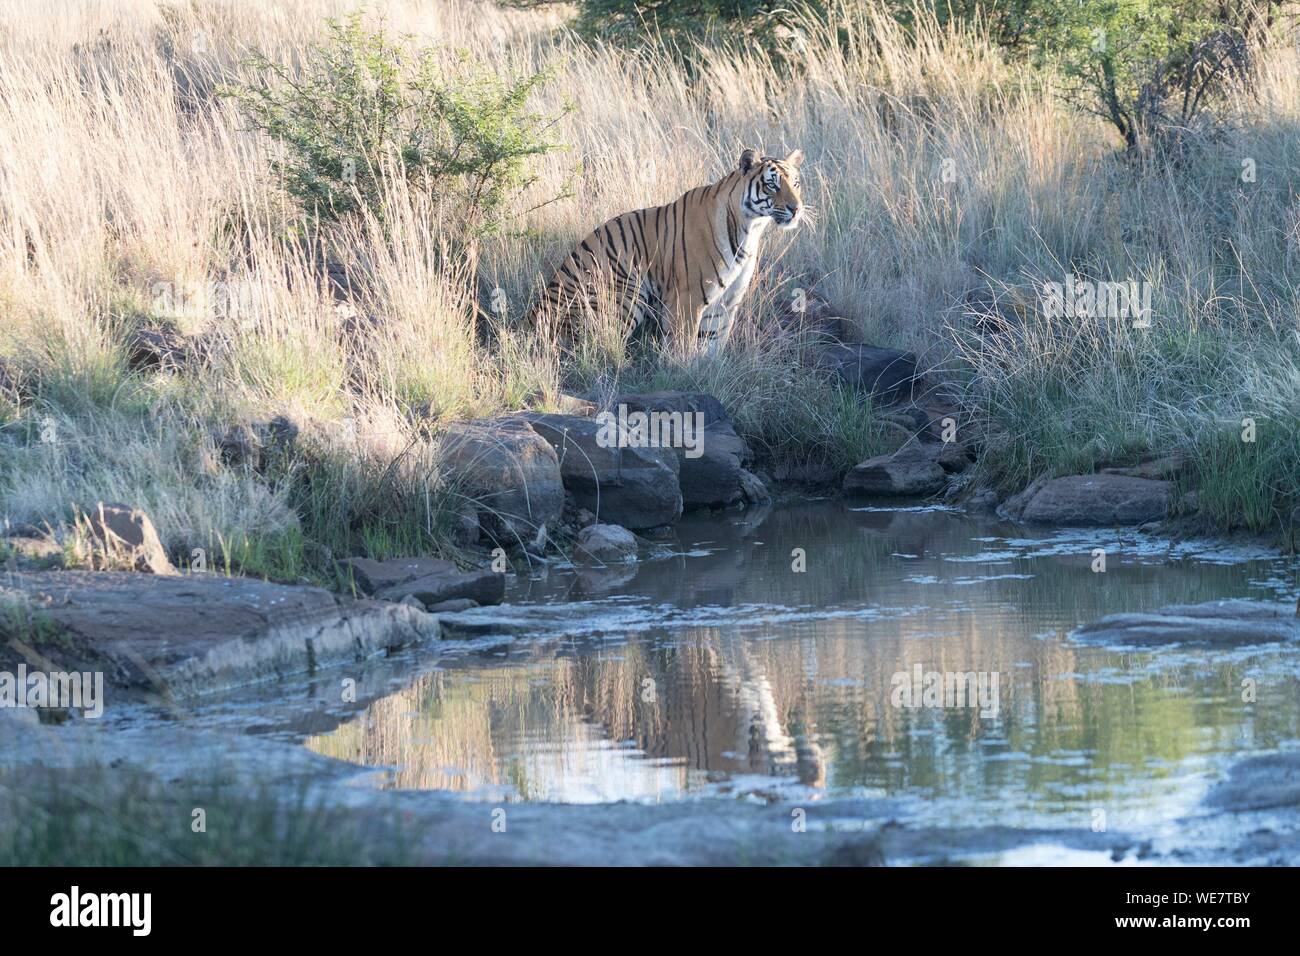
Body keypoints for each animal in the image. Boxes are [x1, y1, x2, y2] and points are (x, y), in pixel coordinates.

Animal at [535, 151, 800, 353]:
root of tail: (530, 317)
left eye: (795, 183)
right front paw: (682, 372)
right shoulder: (689, 297)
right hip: (626, 292)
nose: (796, 208)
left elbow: (713, 344)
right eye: (772, 184)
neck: (751, 228)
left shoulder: (727, 301)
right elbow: (684, 343)